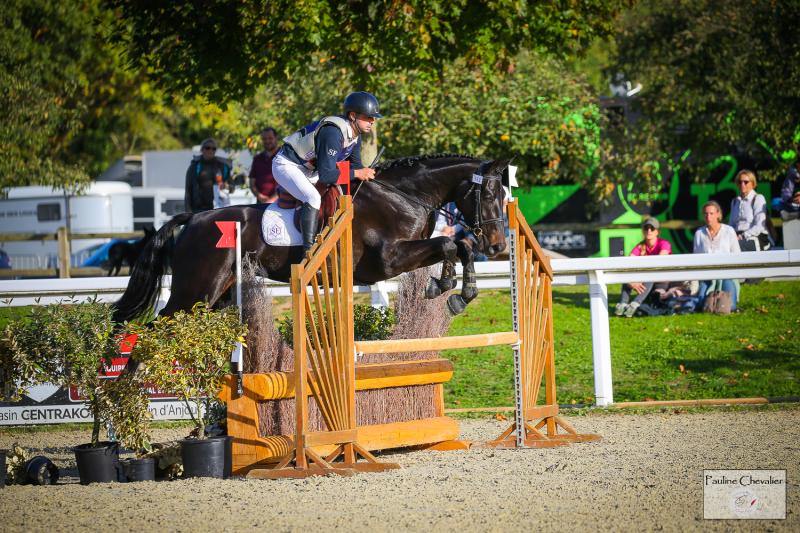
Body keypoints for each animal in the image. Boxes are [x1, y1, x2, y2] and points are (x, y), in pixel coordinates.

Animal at [112, 154, 510, 323]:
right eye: (489, 194)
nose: (498, 247)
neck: (402, 195)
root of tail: (194, 217)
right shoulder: (387, 261)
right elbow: (450, 244)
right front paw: (449, 290)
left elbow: (459, 246)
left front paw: (454, 290)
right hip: (195, 291)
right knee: (158, 326)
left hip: (219, 294)